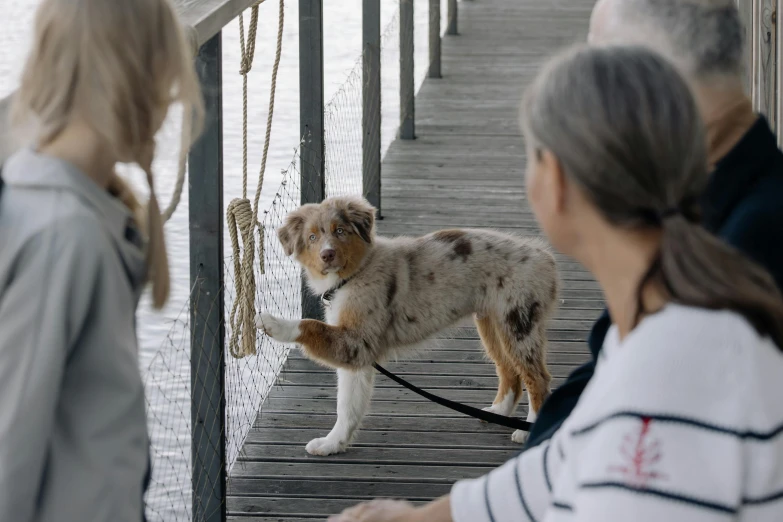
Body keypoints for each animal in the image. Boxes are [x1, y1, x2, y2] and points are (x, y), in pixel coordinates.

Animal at [256, 195, 556, 456]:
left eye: (340, 231)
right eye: (312, 237)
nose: (327, 255)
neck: (355, 273)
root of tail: (545, 257)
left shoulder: (357, 342)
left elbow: (309, 325)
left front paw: (272, 323)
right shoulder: (357, 354)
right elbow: (348, 405)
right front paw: (333, 444)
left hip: (519, 322)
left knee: (537, 378)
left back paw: (528, 430)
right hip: (492, 323)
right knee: (508, 370)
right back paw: (497, 413)